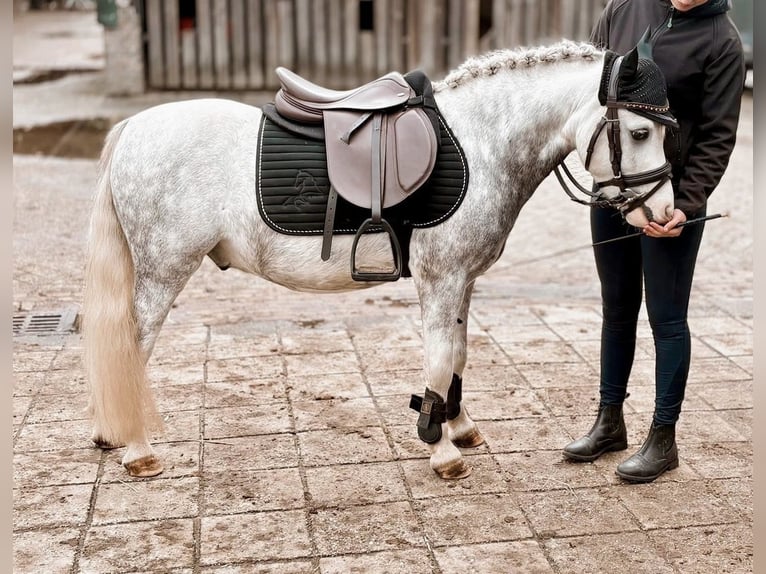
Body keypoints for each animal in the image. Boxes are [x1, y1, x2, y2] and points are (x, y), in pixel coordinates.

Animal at [83, 40, 676, 480]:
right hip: (163, 272)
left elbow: (457, 356)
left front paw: (459, 426)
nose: (668, 214)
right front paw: (441, 450)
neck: (480, 142)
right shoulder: (441, 279)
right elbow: (439, 359)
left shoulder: (461, 282)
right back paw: (138, 450)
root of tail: (133, 127)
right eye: (641, 131)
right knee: (132, 349)